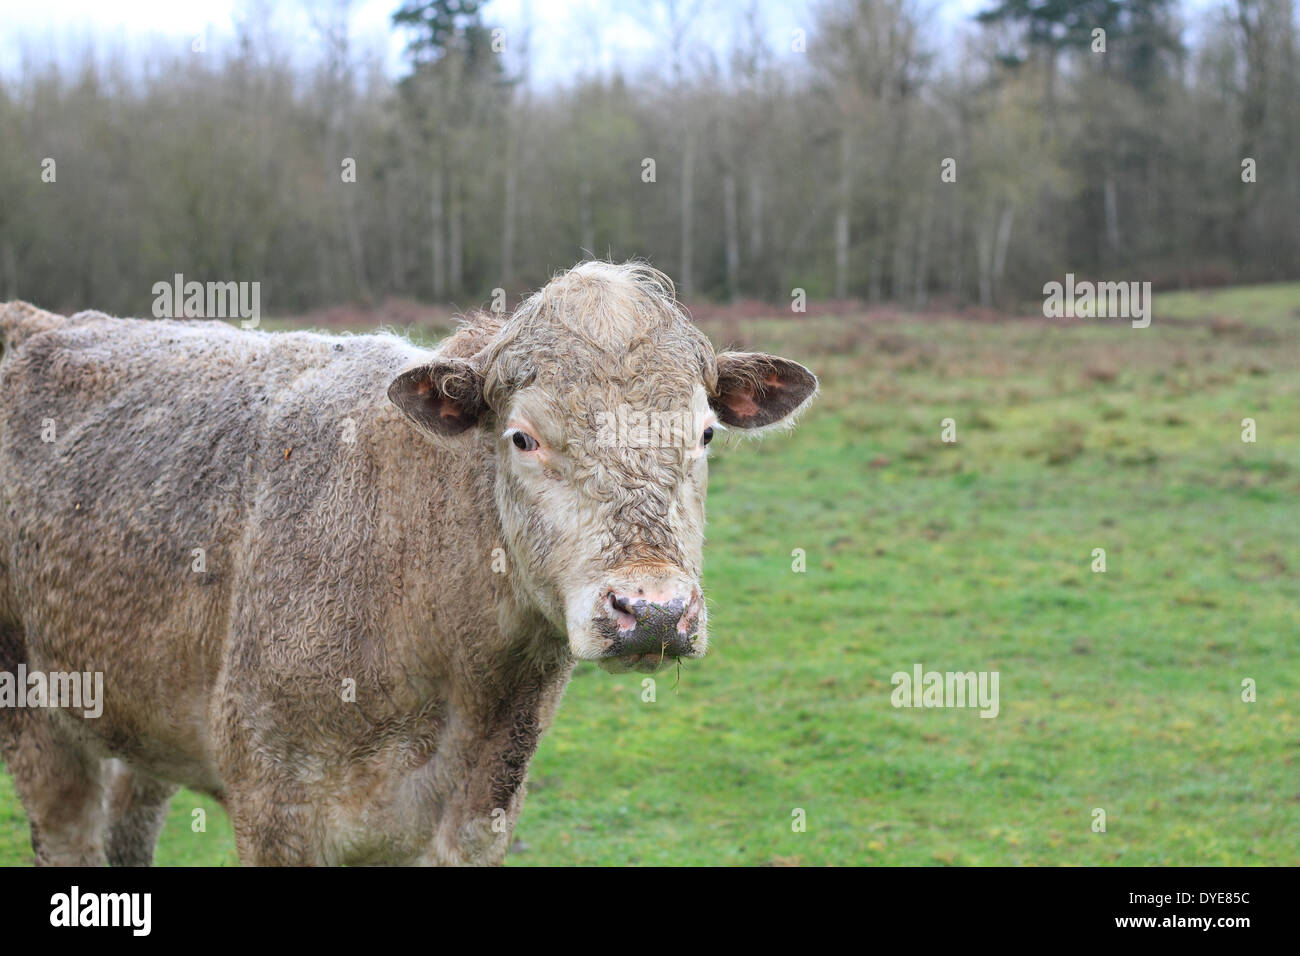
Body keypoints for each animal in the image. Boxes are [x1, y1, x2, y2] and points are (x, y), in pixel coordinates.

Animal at [0, 261, 811, 868]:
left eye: (704, 434)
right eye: (522, 437)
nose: (653, 611)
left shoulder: (478, 819)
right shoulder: (275, 803)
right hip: (34, 709)